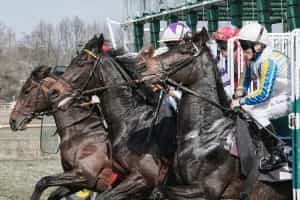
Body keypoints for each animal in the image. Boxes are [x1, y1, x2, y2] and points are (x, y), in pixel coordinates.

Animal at [138, 28, 290, 200]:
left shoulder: (207, 189)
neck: (205, 134)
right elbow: (157, 190)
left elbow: (162, 191)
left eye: (186, 50)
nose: (143, 67)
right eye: (172, 48)